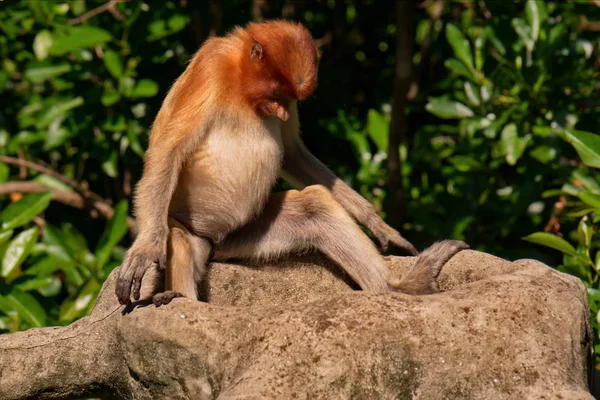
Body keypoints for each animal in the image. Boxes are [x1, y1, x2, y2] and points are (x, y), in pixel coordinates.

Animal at [113, 19, 468, 306]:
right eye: (275, 94)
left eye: (290, 99)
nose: (282, 113)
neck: (240, 84)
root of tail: (213, 242)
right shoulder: (210, 65)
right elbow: (168, 151)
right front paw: (144, 252)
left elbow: (293, 152)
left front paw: (378, 224)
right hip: (184, 222)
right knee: (177, 237)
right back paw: (176, 295)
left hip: (245, 234)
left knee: (315, 205)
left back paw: (399, 287)